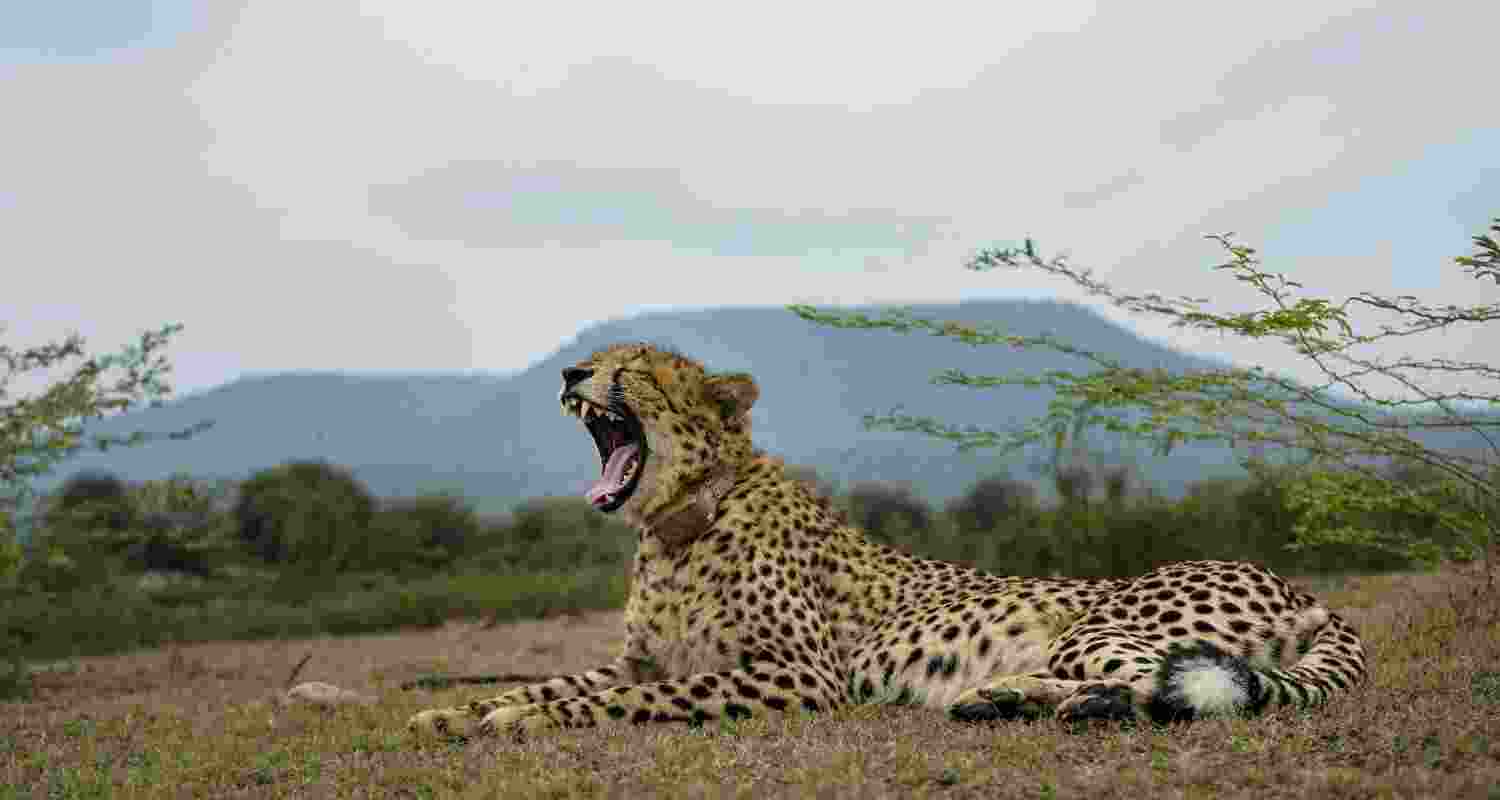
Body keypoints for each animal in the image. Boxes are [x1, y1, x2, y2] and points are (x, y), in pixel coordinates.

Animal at [407, 342, 1366, 740]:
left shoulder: (802, 674)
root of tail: (1298, 586)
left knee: (1178, 688)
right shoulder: (635, 658)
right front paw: (456, 708)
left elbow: (627, 699)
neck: (680, 524)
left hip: (1100, 624)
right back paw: (1005, 699)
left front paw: (512, 717)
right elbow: (567, 677)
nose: (572, 372)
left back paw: (1060, 704)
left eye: (633, 367)